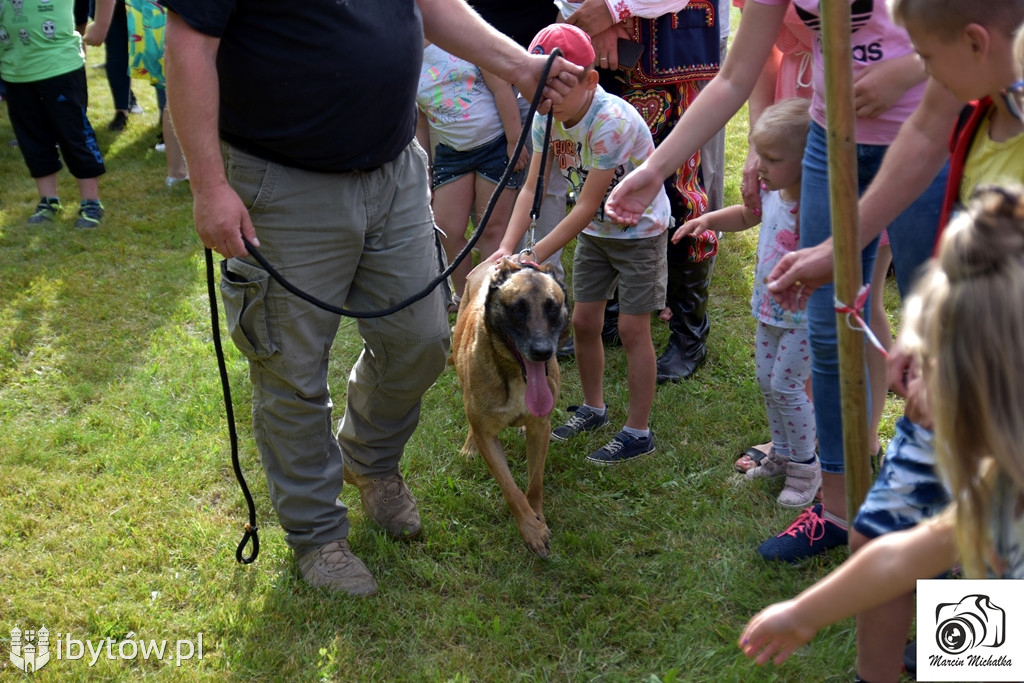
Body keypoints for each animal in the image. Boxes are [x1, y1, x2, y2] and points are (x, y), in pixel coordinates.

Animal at [450, 255, 573, 557]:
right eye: (517, 309)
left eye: (553, 308)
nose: (542, 352)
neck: (516, 373)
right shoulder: (488, 438)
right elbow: (512, 490)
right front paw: (531, 530)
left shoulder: (541, 428)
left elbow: (534, 484)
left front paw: (537, 517)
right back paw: (469, 446)